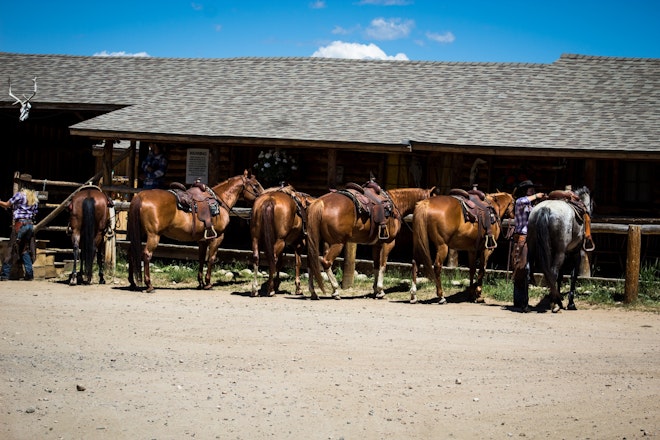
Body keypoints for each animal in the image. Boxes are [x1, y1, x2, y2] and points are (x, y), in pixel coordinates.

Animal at [127, 170, 264, 292]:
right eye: (256, 185)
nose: (263, 196)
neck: (220, 201)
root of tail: (140, 197)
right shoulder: (218, 237)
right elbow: (211, 258)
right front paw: (208, 283)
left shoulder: (202, 240)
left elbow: (201, 259)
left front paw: (201, 283)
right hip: (153, 236)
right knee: (146, 255)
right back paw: (149, 285)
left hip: (139, 233)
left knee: (132, 253)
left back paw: (132, 282)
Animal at [306, 186, 437, 300]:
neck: (395, 204)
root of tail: (320, 202)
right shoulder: (388, 243)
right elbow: (383, 265)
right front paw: (381, 290)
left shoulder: (376, 245)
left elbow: (376, 266)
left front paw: (375, 290)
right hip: (338, 243)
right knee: (326, 262)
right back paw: (335, 290)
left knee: (312, 262)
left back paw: (313, 292)